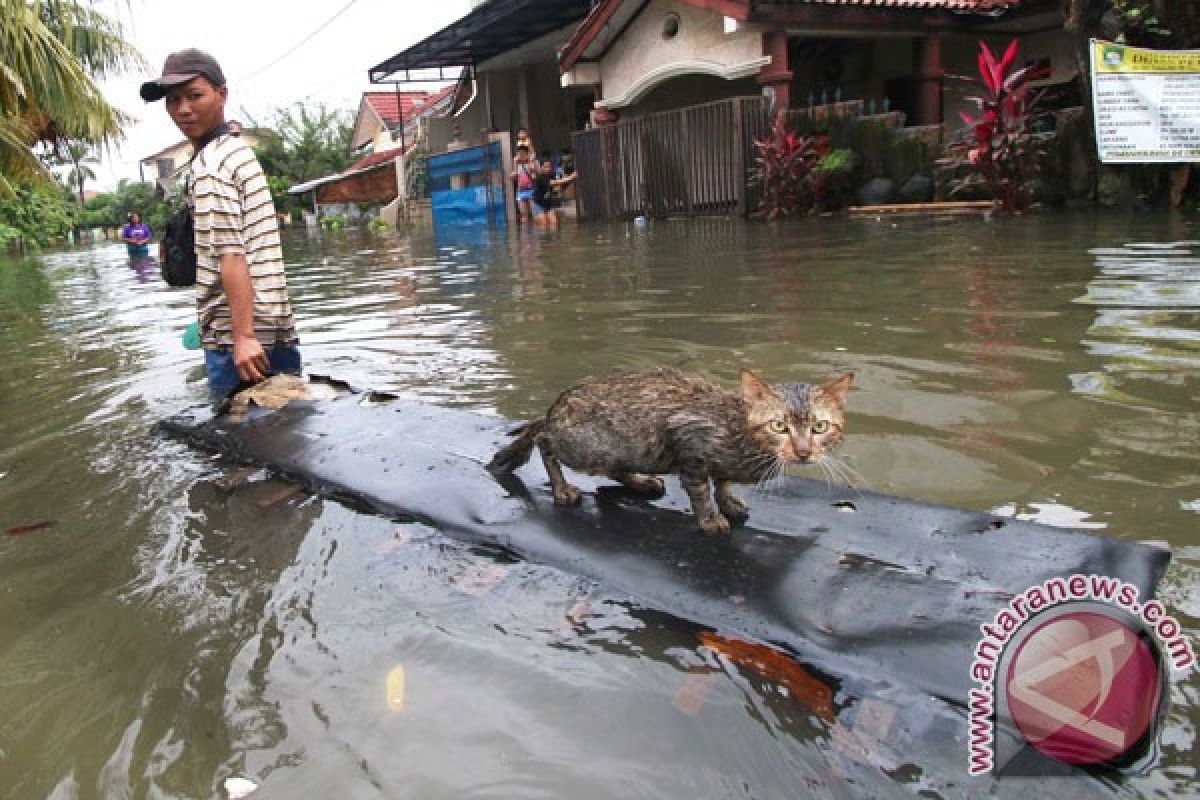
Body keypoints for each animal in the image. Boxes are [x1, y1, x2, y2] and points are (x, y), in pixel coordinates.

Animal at [487, 367, 854, 532]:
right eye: (778, 426)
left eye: (819, 427)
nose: (803, 451)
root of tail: (557, 406)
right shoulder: (690, 446)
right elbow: (701, 490)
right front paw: (711, 518)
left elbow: (722, 482)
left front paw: (729, 502)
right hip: (588, 445)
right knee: (541, 437)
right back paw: (561, 487)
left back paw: (643, 482)